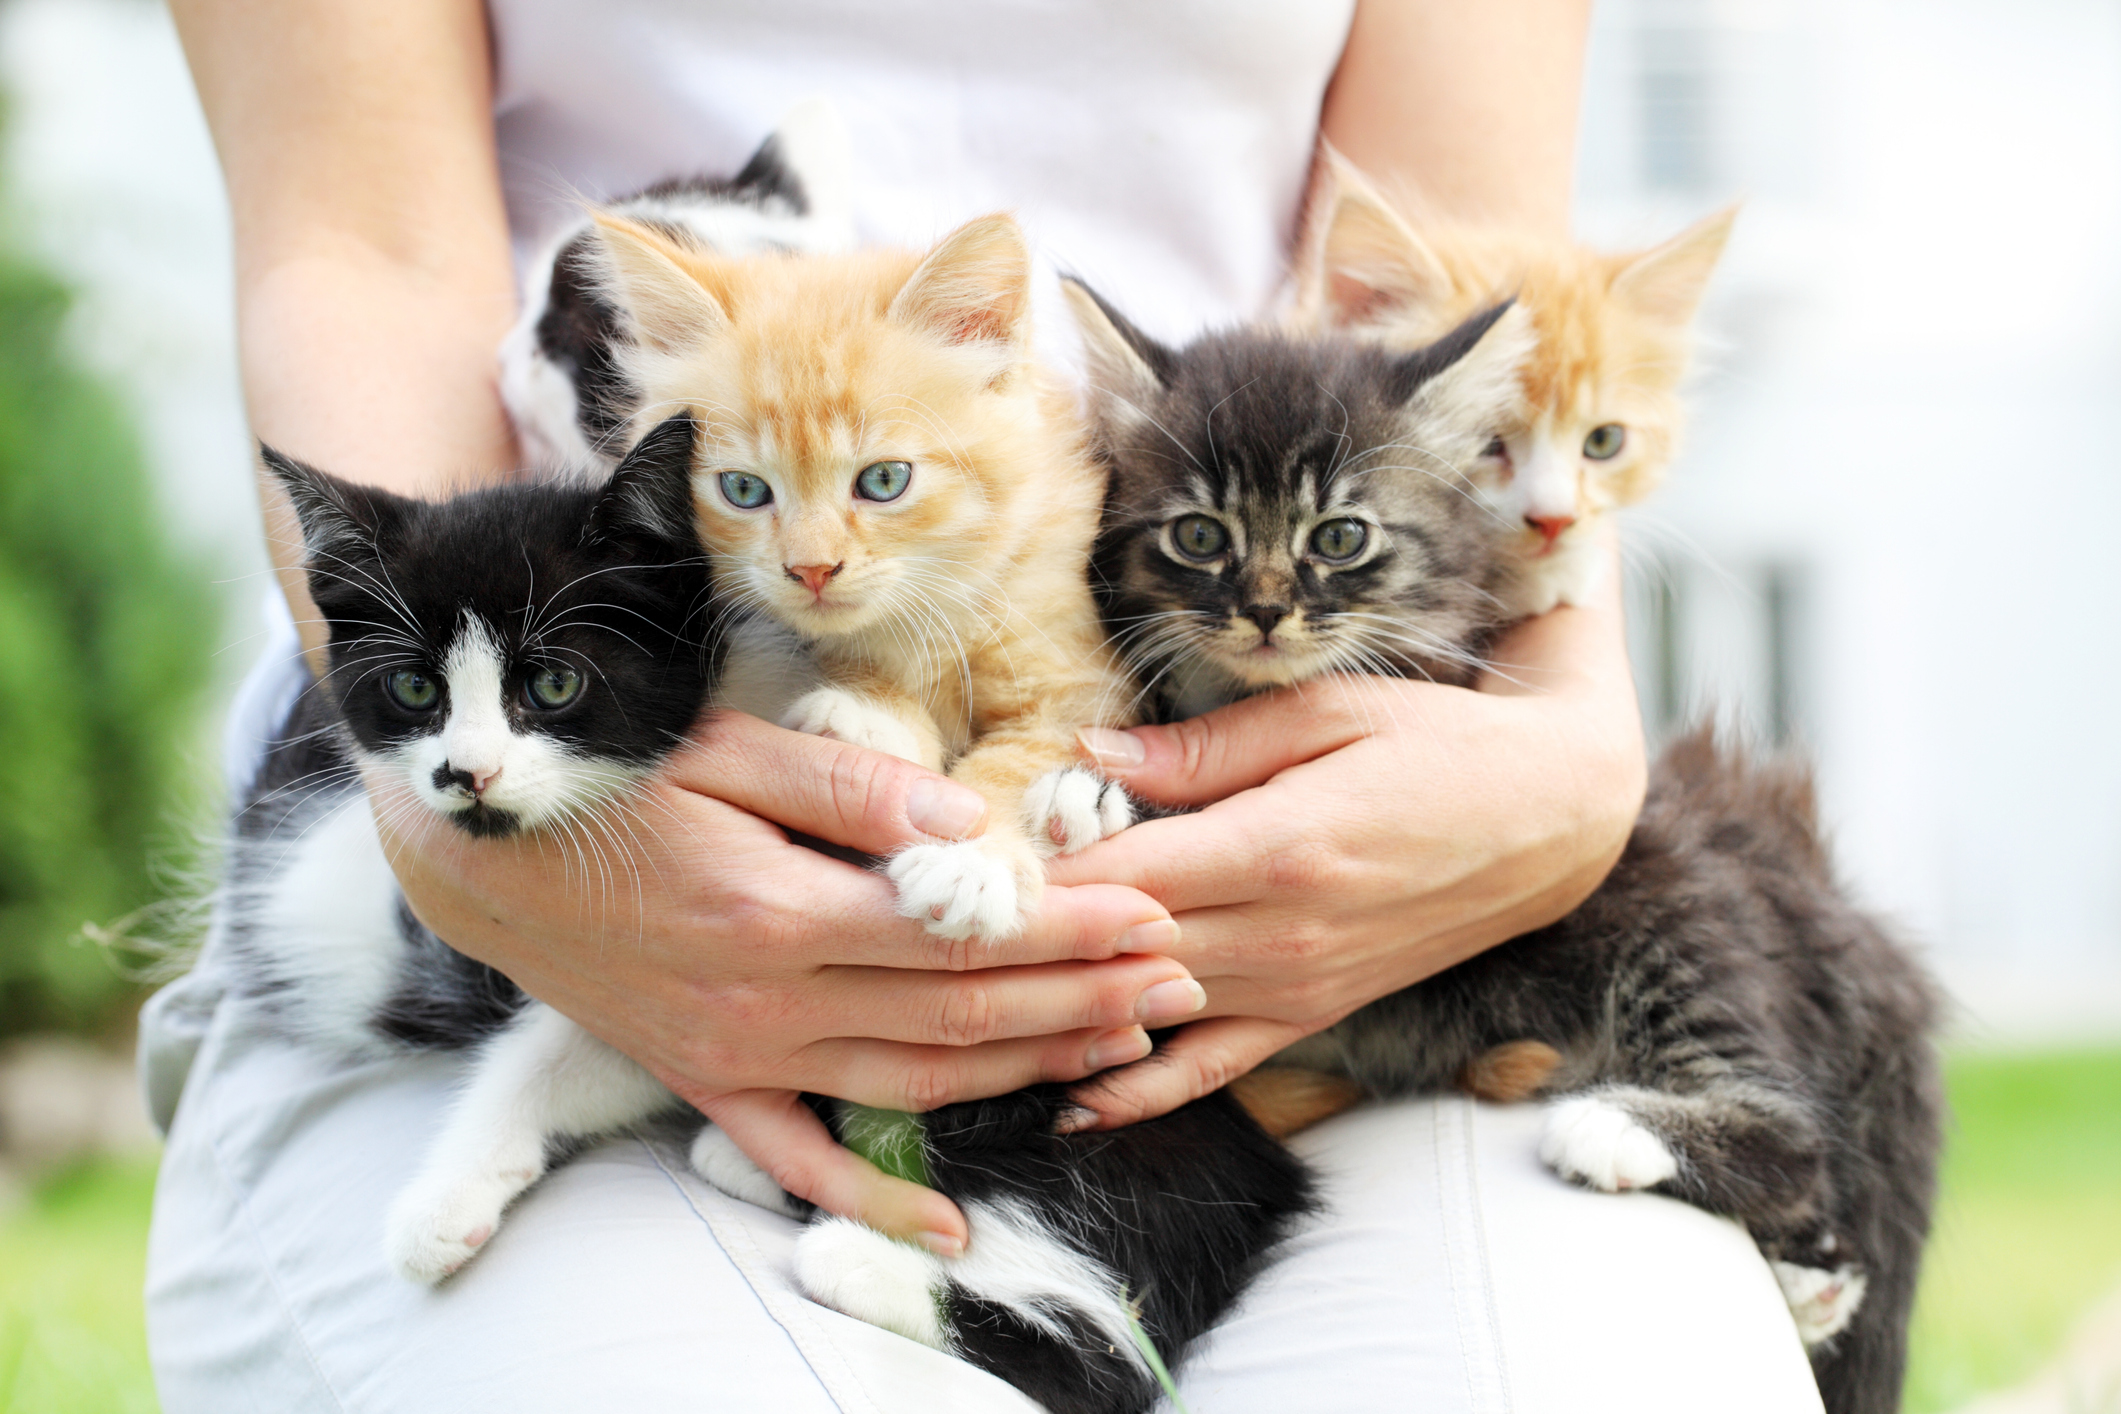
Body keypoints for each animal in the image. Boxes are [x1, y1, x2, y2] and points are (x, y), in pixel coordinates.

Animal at [589, 213, 1136, 941]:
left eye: (883, 481)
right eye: (743, 489)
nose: (812, 569)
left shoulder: (1083, 685)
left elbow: (1020, 760)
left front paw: (971, 858)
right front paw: (873, 719)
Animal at [1068, 279, 1942, 1414]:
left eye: (1338, 537)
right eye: (1198, 535)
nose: (1263, 608)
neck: (1249, 690)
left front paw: (1099, 792)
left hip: (1670, 907)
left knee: (1795, 1133)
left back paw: (1621, 1131)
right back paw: (1810, 1287)